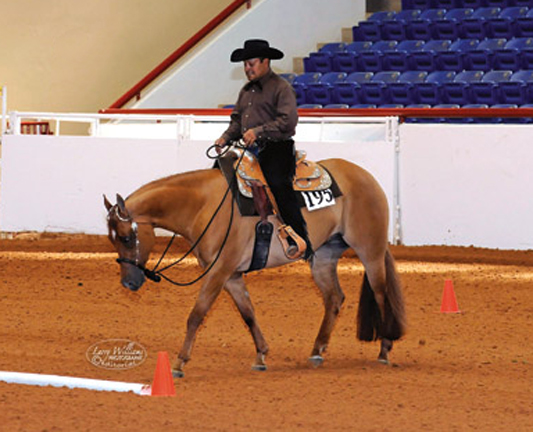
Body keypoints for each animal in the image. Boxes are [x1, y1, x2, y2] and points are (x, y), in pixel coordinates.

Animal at [103, 154, 404, 376]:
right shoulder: (232, 275)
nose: (128, 283)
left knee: (381, 294)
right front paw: (261, 355)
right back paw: (317, 352)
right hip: (323, 256)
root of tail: (366, 176)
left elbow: (197, 314)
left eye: (127, 237)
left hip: (370, 251)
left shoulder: (219, 271)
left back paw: (384, 351)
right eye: (112, 239)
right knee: (334, 298)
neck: (205, 204)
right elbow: (247, 313)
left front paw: (179, 363)